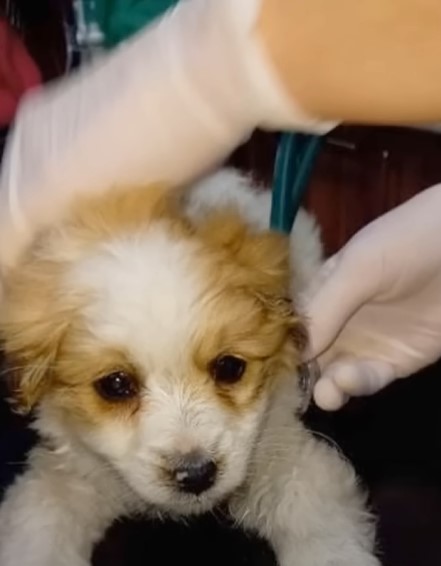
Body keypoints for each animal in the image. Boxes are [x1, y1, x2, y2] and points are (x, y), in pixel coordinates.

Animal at [0, 171, 378, 564]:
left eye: (229, 367)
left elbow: (323, 534)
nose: (195, 475)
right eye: (116, 385)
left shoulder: (286, 454)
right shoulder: (68, 476)